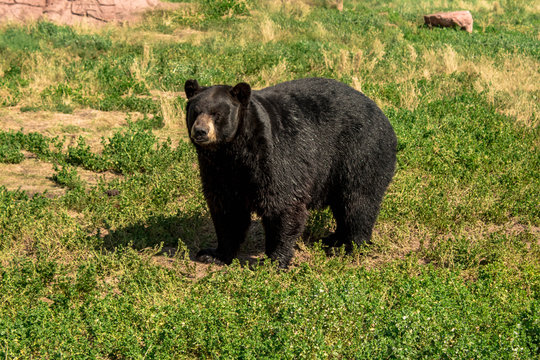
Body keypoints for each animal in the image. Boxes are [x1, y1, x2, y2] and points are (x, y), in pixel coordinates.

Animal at [184, 78, 394, 268]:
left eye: (217, 114)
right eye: (195, 112)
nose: (200, 131)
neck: (233, 151)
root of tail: (383, 115)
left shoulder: (274, 157)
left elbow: (282, 204)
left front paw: (273, 260)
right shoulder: (217, 170)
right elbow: (227, 209)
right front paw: (213, 254)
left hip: (359, 152)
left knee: (358, 201)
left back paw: (348, 246)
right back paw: (333, 238)